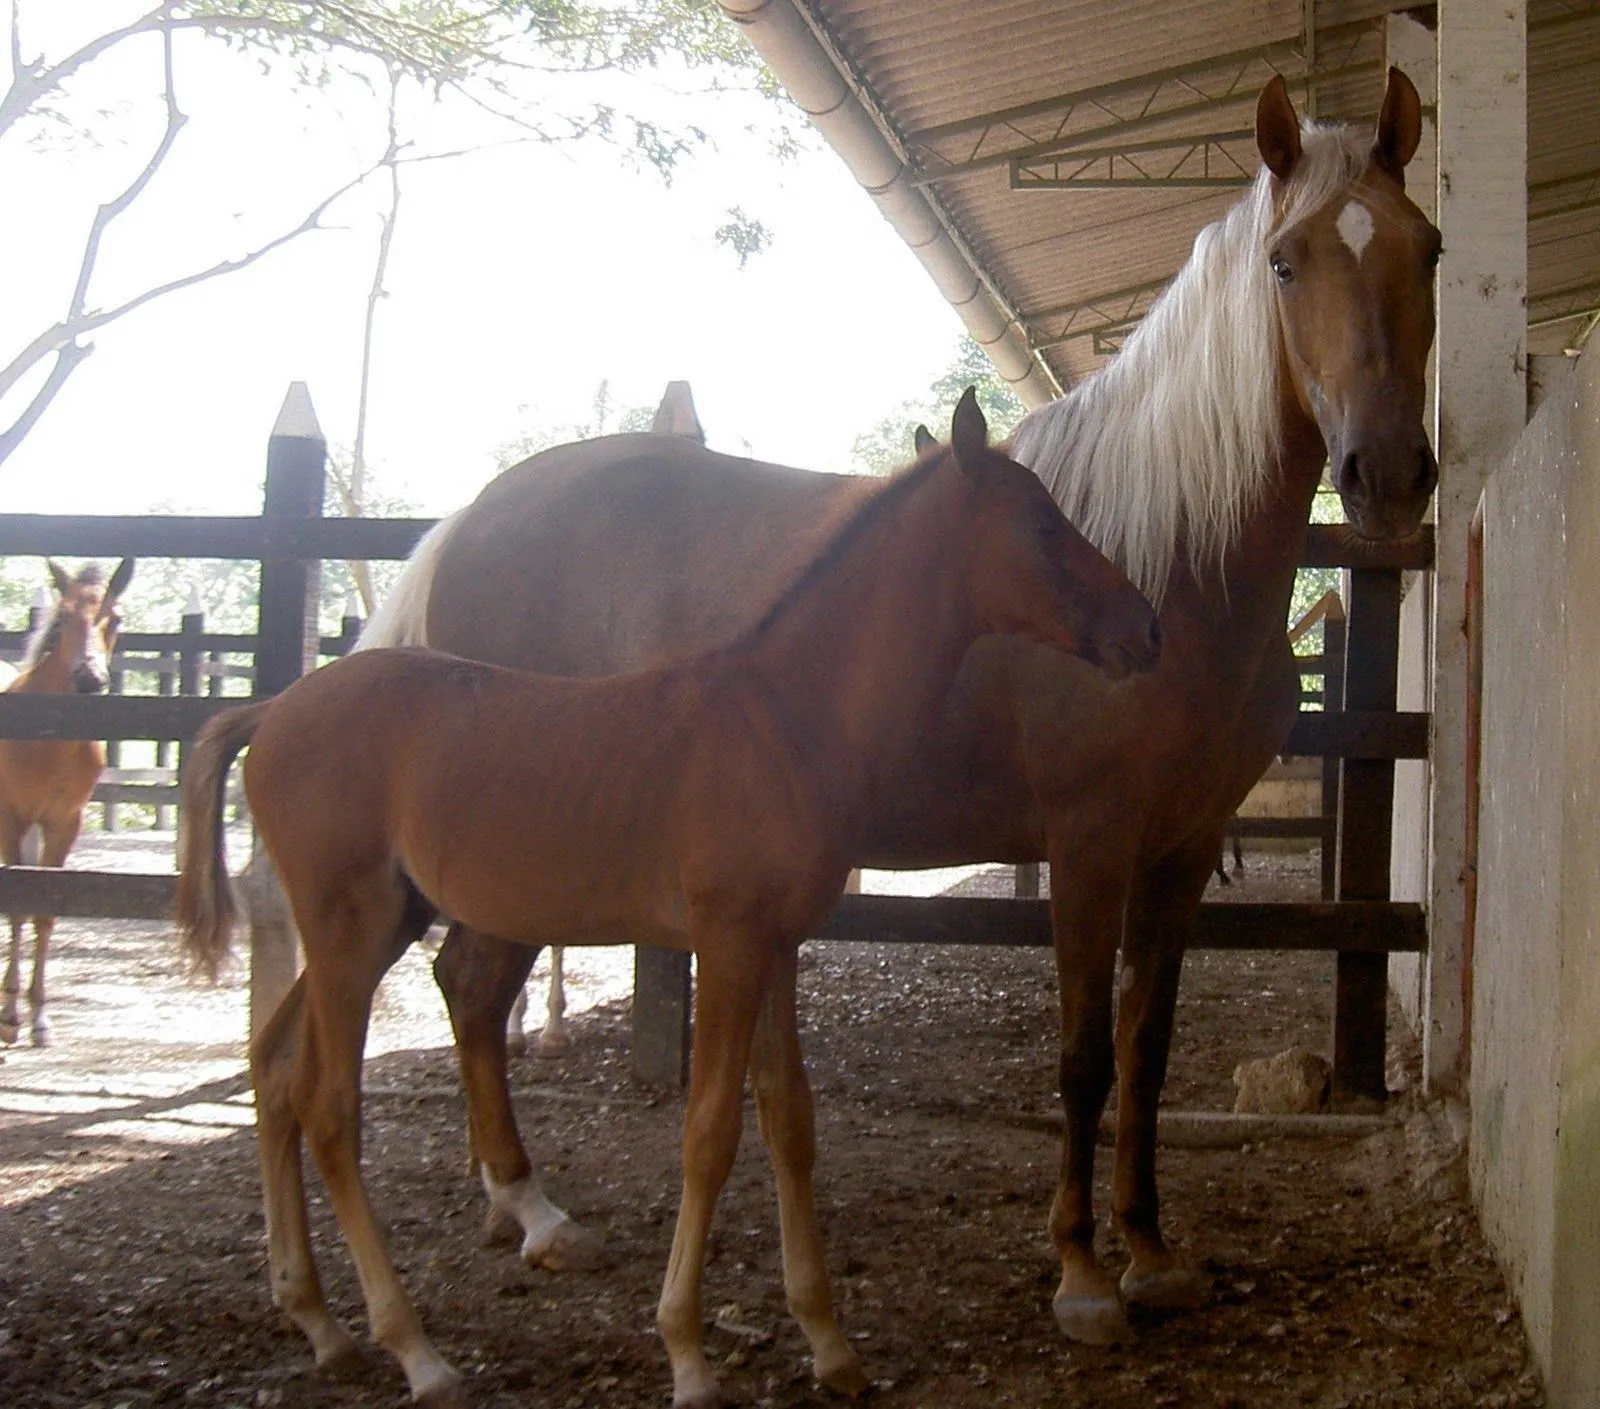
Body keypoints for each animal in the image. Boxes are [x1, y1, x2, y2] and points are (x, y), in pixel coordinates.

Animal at [0, 559, 134, 1042]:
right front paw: (11, 1016)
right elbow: (17, 903)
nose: (89, 678)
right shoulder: (12, 817)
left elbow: (45, 909)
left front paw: (38, 1016)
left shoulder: (64, 822)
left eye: (115, 617)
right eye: (63, 617)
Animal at [175, 393, 1158, 1407]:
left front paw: (830, 1343)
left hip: (375, 928)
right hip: (351, 930)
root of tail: (271, 711)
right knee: (330, 1105)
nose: (1147, 627)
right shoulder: (724, 942)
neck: (781, 716)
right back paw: (417, 1349)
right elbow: (710, 1129)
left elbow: (790, 1118)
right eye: (1043, 524)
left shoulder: (777, 945)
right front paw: (688, 1355)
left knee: (276, 1068)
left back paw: (318, 1319)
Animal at [368, 71, 1446, 1349]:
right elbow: (1083, 1054)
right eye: (1285, 262)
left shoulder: (1179, 850)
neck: (1168, 562)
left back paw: (516, 1206)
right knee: (473, 984)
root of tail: (464, 525)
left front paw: (1149, 1247)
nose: (1387, 474)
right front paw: (1081, 1272)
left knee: (471, 987)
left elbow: (1147, 1046)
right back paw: (533, 1209)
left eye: (1428, 249)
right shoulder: (1088, 844)